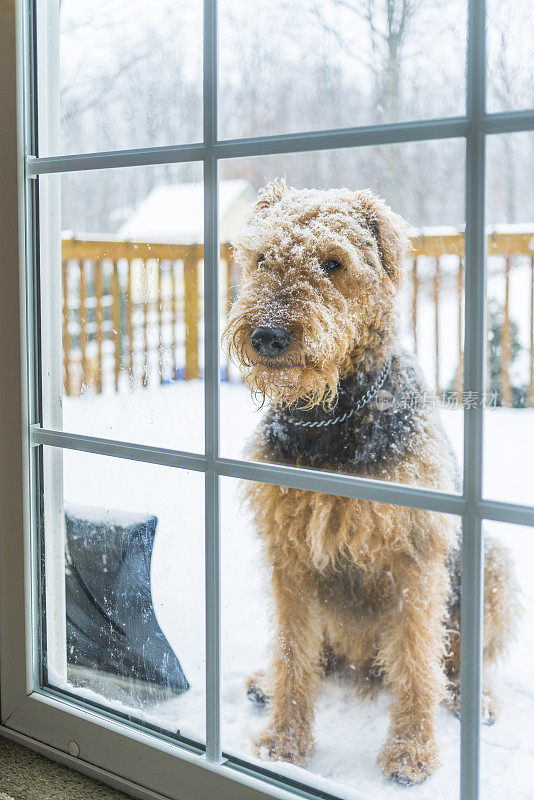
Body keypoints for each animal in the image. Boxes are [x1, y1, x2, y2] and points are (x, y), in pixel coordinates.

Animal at [223, 178, 524, 784]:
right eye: (261, 258)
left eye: (333, 262)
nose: (266, 336)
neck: (331, 420)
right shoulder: (289, 557)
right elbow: (293, 653)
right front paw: (285, 742)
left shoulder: (414, 557)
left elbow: (415, 660)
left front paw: (411, 751)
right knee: (318, 656)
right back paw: (267, 684)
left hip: (492, 566)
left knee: (453, 658)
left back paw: (473, 699)